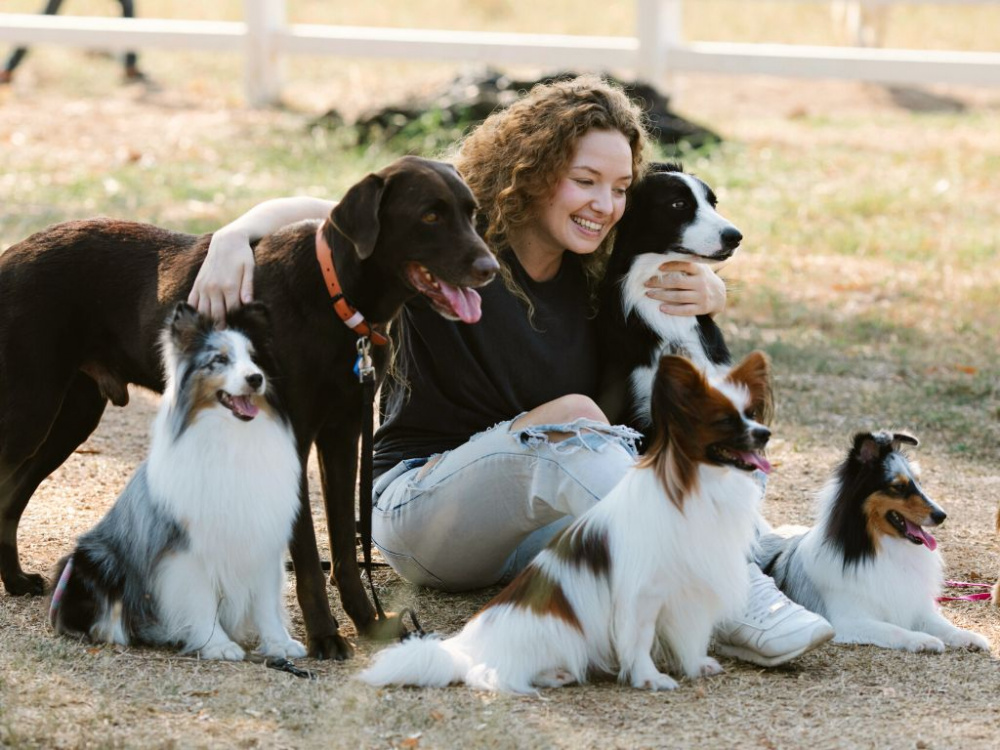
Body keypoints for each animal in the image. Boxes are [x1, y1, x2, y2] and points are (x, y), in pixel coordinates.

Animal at [48, 302, 306, 660]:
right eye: (219, 360)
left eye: (255, 358)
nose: (255, 379)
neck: (231, 437)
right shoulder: (185, 548)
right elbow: (202, 601)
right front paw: (217, 645)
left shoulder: (262, 536)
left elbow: (266, 602)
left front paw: (279, 643)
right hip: (95, 559)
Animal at [360, 352, 772, 692]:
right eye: (724, 421)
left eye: (752, 414)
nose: (765, 434)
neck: (697, 483)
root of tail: (467, 646)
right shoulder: (642, 594)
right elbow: (639, 638)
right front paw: (649, 678)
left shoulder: (688, 587)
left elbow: (692, 633)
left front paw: (695, 665)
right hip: (558, 634)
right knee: (493, 674)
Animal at [760, 432, 988, 656]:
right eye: (898, 487)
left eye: (919, 483)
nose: (942, 515)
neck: (881, 548)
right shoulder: (848, 621)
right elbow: (894, 629)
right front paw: (922, 640)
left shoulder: (916, 608)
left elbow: (943, 625)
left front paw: (967, 636)